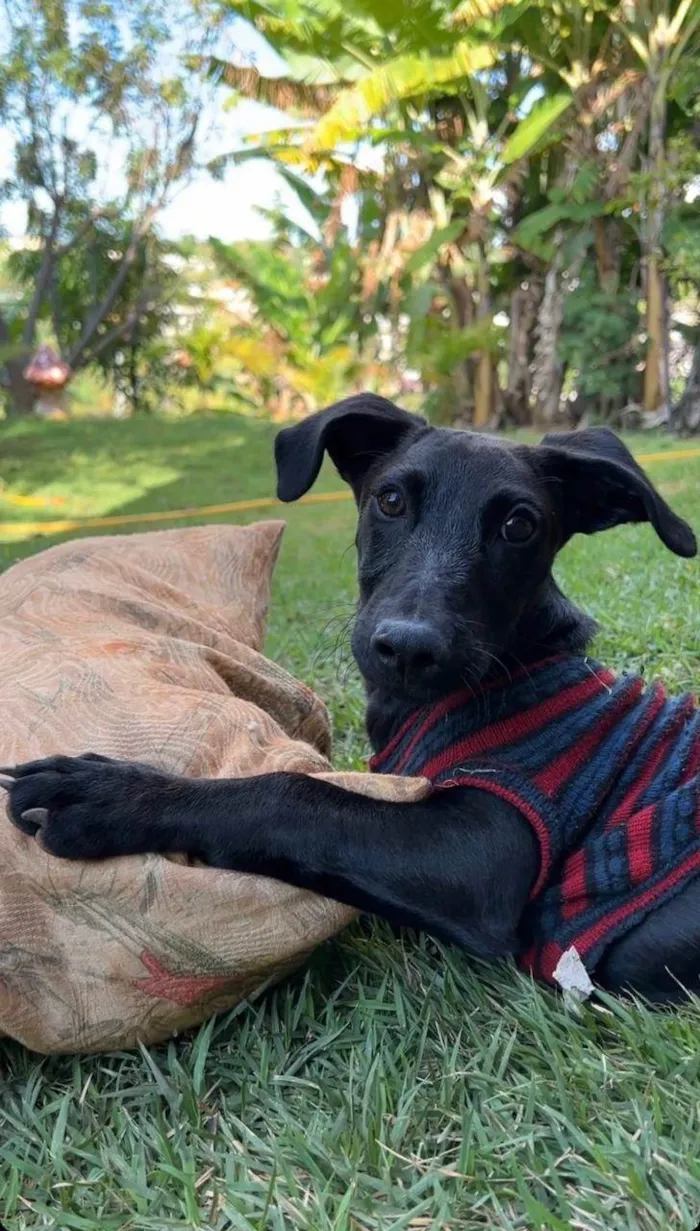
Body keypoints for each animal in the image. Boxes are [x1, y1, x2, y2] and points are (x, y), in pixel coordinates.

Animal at [5, 398, 698, 1004]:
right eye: (390, 500)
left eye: (519, 525)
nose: (409, 648)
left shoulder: (489, 844)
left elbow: (291, 795)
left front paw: (113, 793)